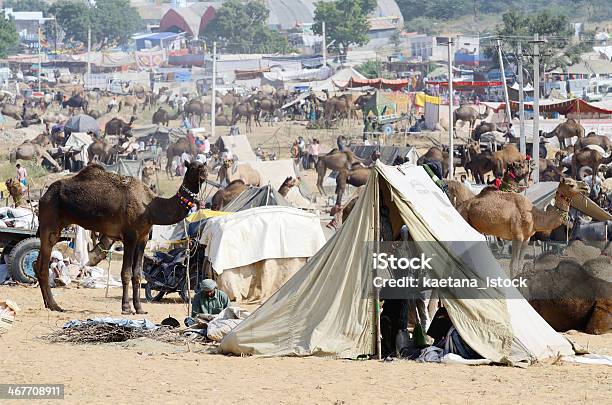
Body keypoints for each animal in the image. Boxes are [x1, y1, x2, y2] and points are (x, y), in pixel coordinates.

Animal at [35, 161, 208, 312]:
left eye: (204, 165)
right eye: (194, 167)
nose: (205, 173)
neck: (150, 207)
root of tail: (42, 197)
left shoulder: (143, 237)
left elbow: (137, 274)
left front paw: (139, 308)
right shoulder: (129, 236)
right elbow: (126, 273)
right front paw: (126, 307)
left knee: (38, 264)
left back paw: (48, 304)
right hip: (49, 223)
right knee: (43, 265)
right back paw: (54, 305)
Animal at [460, 177, 588, 274]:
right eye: (571, 184)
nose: (586, 185)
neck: (534, 216)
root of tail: (461, 205)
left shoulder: (527, 238)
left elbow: (520, 264)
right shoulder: (517, 237)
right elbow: (513, 265)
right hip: (464, 217)